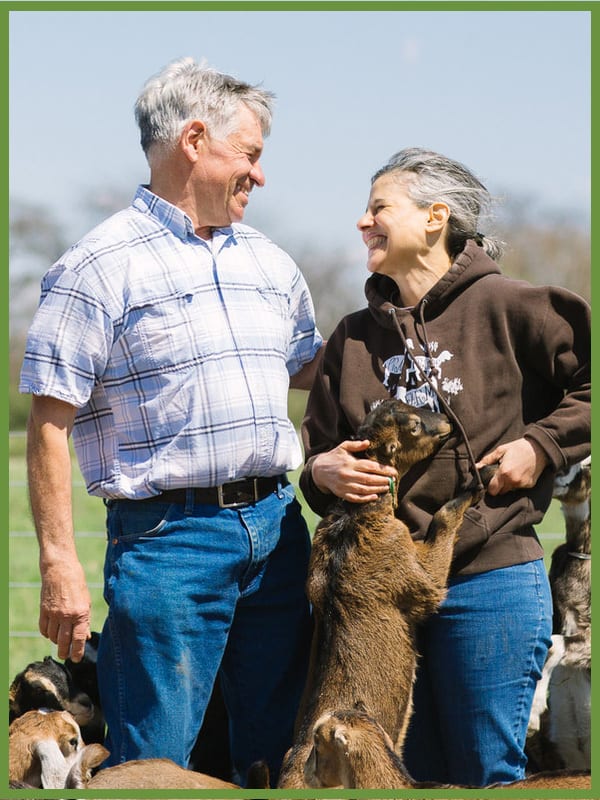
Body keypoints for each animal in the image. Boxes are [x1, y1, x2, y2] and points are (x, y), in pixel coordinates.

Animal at [278, 399, 481, 787]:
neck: (352, 517)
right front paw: (482, 480)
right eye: (414, 426)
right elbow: (442, 522)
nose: (446, 421)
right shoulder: (412, 568)